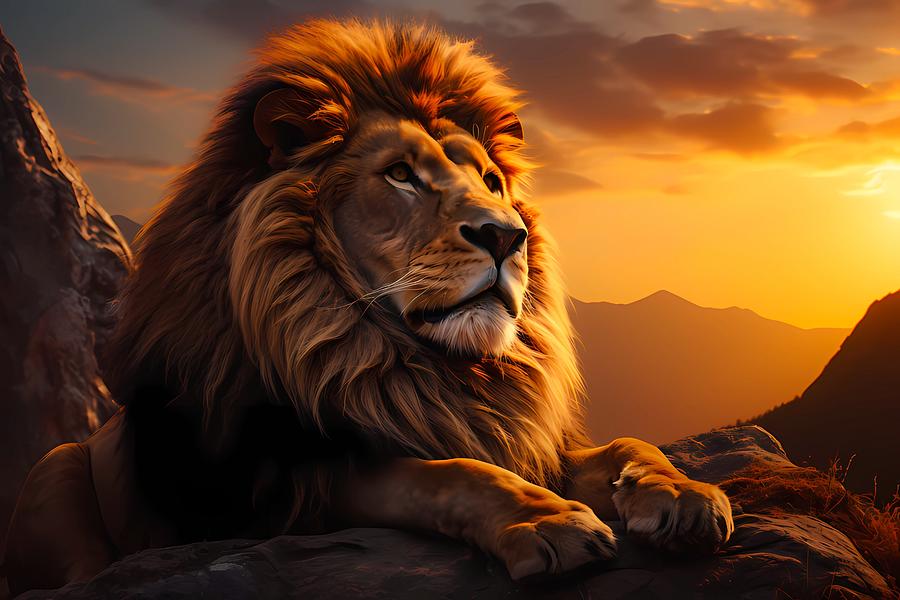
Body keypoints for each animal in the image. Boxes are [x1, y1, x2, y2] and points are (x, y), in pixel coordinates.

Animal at [5, 20, 733, 594]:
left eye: (491, 180)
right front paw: (550, 521)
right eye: (401, 175)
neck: (419, 368)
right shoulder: (280, 493)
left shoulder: (517, 438)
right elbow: (448, 475)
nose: (506, 235)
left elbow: (627, 444)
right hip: (55, 470)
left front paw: (682, 495)